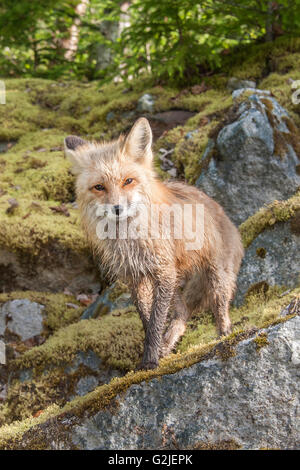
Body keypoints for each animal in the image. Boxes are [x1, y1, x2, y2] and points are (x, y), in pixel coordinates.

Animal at [65, 117, 244, 370]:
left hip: (216, 279)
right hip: (178, 285)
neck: (131, 241)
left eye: (128, 181)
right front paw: (155, 354)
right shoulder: (136, 278)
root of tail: (227, 217)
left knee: (219, 311)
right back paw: (168, 347)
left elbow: (156, 322)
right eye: (99, 187)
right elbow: (147, 320)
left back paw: (223, 337)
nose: (117, 209)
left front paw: (150, 360)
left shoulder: (163, 272)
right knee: (182, 315)